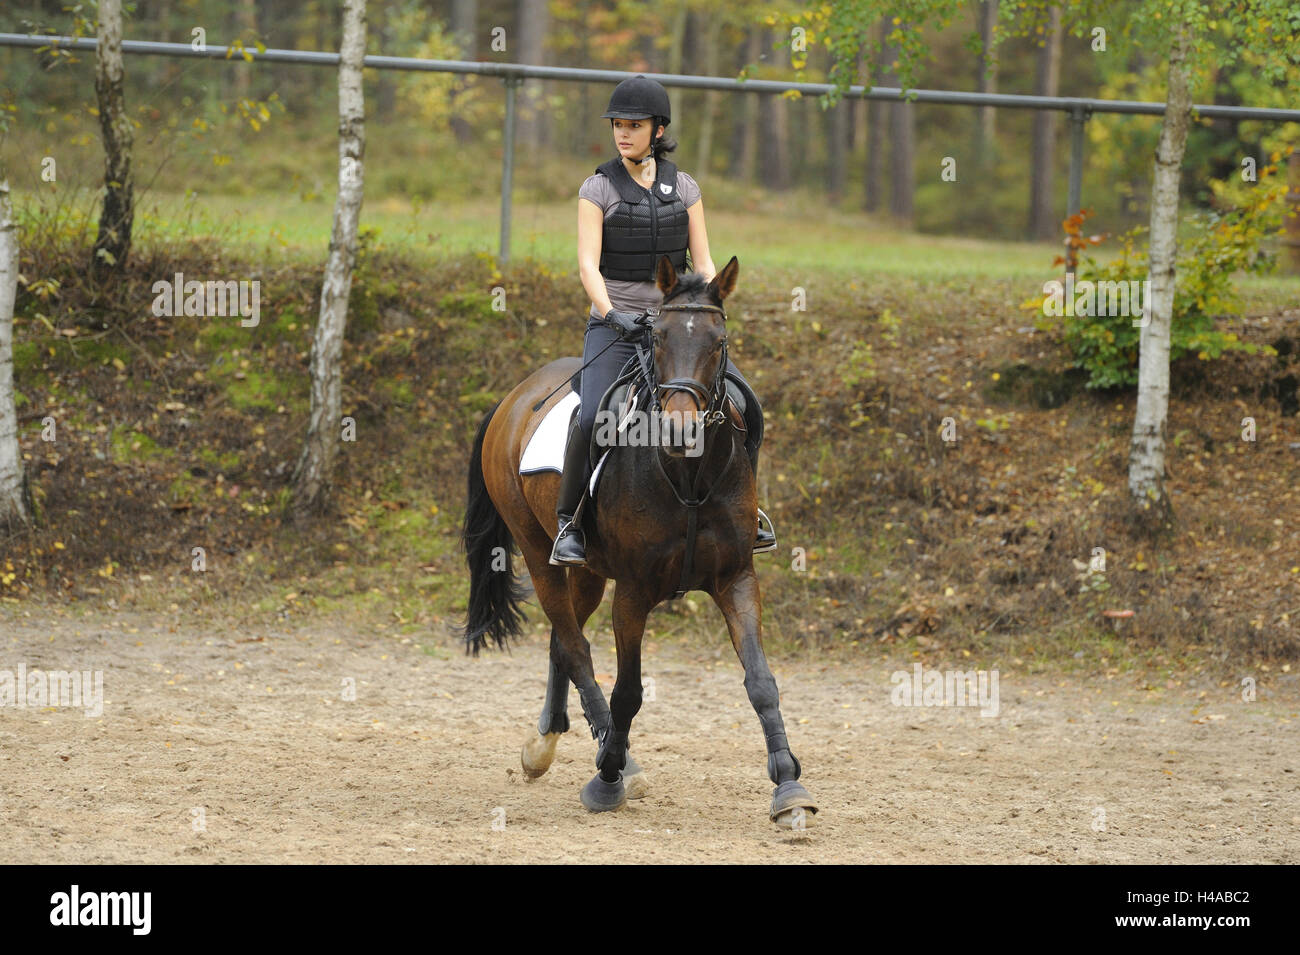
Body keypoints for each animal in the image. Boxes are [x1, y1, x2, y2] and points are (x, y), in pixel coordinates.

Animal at [462, 255, 816, 831]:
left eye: (719, 341)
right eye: (659, 338)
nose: (680, 432)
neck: (688, 476)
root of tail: (514, 396)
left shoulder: (736, 578)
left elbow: (762, 680)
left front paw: (789, 785)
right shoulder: (633, 591)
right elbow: (627, 690)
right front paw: (608, 777)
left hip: (587, 570)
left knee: (562, 641)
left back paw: (545, 744)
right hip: (538, 553)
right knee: (576, 648)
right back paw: (612, 754)